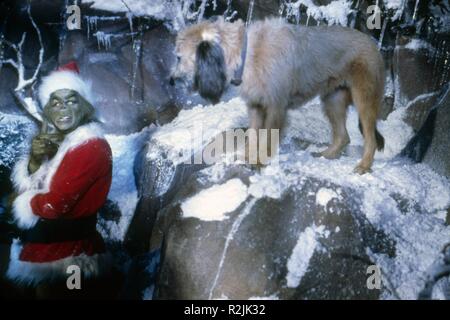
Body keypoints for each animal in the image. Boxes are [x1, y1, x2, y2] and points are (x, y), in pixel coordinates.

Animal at [171, 18, 384, 172]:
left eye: (179, 58)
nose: (171, 80)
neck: (247, 54)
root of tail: (373, 43)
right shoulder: (256, 107)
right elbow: (252, 135)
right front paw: (247, 156)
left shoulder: (275, 108)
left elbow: (266, 138)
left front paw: (258, 161)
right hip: (333, 100)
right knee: (343, 136)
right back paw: (328, 154)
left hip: (364, 99)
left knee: (370, 139)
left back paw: (364, 165)